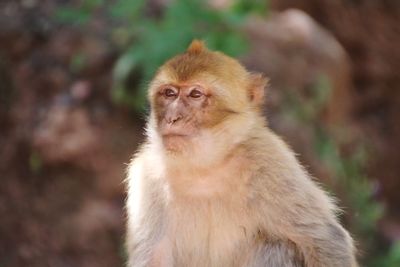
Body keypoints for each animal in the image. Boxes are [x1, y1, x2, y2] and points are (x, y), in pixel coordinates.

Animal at [124, 40, 356, 267]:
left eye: (195, 94)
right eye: (169, 93)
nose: (172, 118)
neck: (205, 167)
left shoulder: (269, 160)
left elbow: (324, 238)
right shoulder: (148, 175)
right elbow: (153, 256)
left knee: (275, 246)